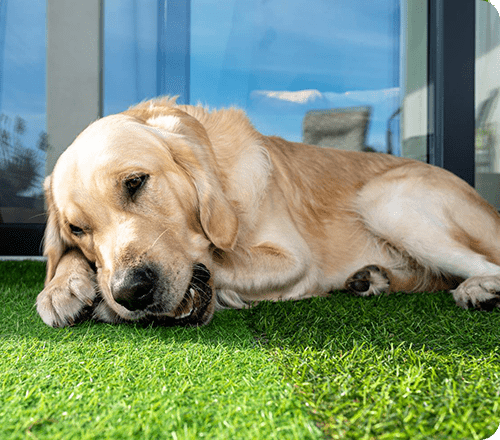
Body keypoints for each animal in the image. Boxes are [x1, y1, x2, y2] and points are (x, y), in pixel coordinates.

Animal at [37, 98, 500, 328]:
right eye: (77, 229)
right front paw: (62, 287)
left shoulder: (294, 260)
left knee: (486, 264)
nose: (130, 292)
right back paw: (373, 279)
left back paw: (479, 290)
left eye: (135, 182)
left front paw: (102, 303)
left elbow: (219, 259)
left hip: (387, 201)